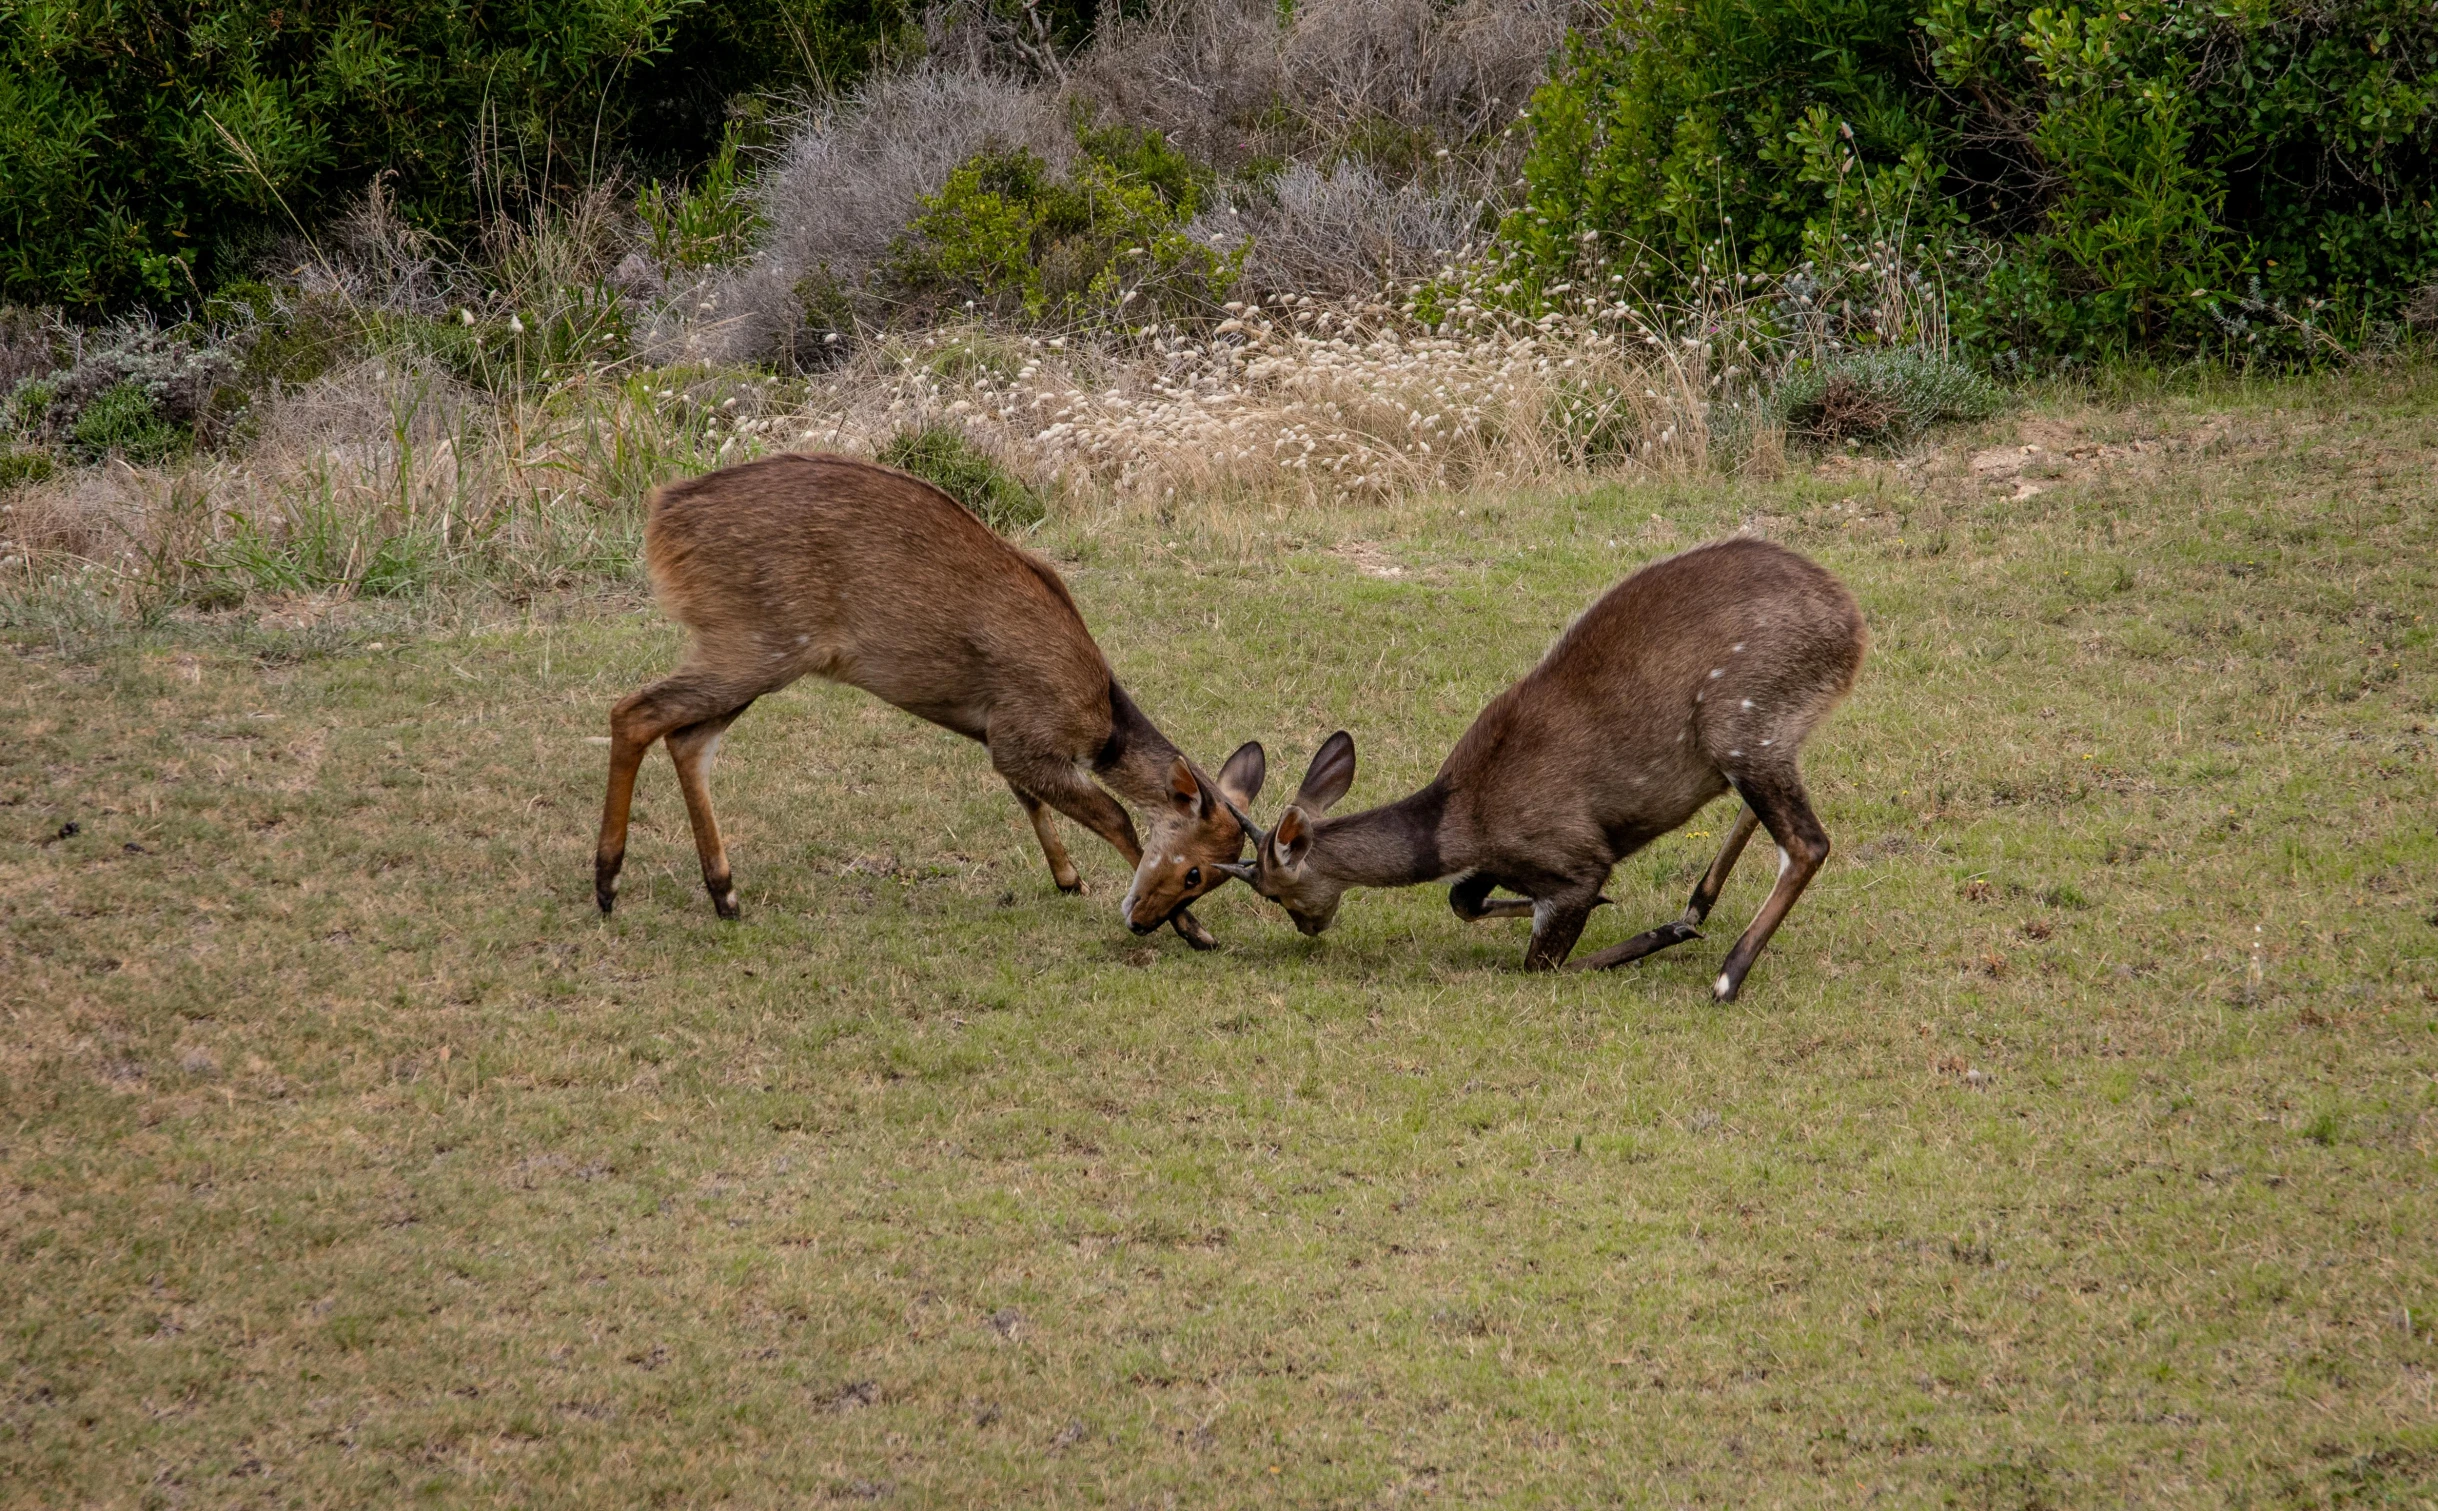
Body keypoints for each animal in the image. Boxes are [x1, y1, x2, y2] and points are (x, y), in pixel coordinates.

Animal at [592, 448, 1267, 945]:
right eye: (1195, 872)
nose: (1146, 921)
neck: (1100, 718)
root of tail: (662, 517)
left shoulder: (996, 733)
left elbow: (1026, 799)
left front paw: (1068, 878)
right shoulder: (1024, 734)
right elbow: (1115, 815)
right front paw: (1193, 931)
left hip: (750, 652)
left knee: (687, 738)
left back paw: (724, 894)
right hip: (754, 644)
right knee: (635, 710)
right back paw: (607, 884)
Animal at [1219, 536, 1862, 999]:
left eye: (1273, 893)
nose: (1309, 929)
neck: (1461, 820)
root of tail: (1853, 627)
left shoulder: (1574, 858)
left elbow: (1542, 964)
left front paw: (1649, 932)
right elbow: (1462, 900)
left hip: (1743, 722)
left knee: (1808, 842)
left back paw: (1724, 977)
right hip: (1767, 735)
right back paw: (1697, 905)